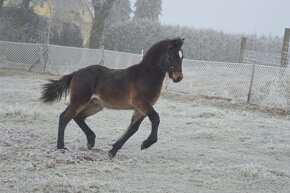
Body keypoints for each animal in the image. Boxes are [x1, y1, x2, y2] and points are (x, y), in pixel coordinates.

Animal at [40, 37, 185, 158]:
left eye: (182, 56)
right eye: (171, 56)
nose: (179, 77)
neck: (146, 75)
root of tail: (76, 73)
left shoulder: (141, 109)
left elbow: (133, 128)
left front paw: (113, 150)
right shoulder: (141, 103)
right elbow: (155, 118)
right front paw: (146, 143)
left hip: (95, 105)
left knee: (78, 117)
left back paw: (91, 141)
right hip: (79, 101)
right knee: (64, 117)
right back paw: (61, 147)